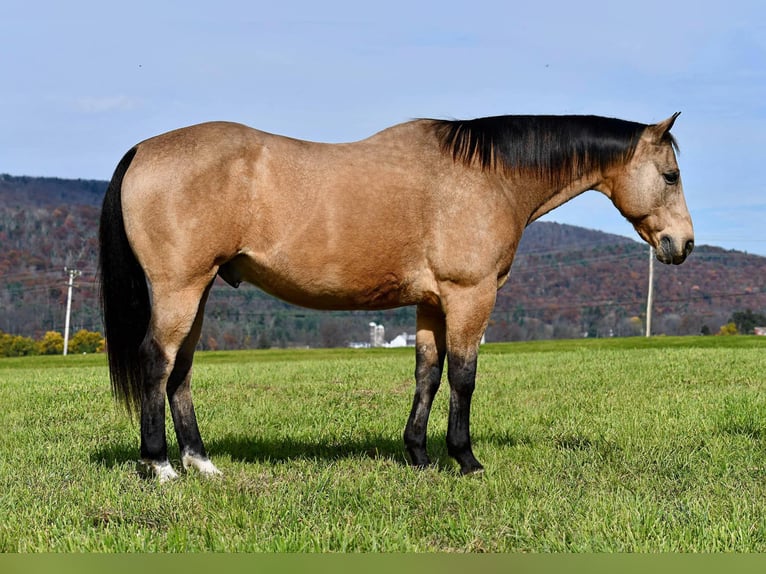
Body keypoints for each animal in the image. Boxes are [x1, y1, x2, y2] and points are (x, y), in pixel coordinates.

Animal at [97, 112, 696, 482]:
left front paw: (419, 456)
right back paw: (161, 466)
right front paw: (466, 459)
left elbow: (427, 375)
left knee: (181, 371)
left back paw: (201, 463)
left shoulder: (432, 302)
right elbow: (463, 377)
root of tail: (143, 149)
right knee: (157, 363)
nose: (683, 244)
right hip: (179, 289)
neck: (487, 176)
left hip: (197, 293)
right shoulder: (469, 296)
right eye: (671, 174)